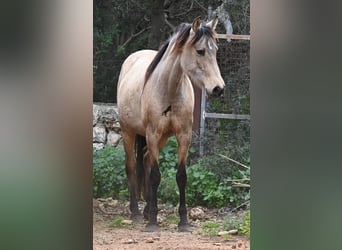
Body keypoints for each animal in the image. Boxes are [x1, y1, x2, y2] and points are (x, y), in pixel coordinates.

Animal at [116, 16, 226, 232]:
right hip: (128, 132)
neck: (168, 90)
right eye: (200, 51)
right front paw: (153, 222)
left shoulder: (183, 136)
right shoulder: (152, 134)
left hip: (162, 139)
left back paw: (146, 210)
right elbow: (155, 176)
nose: (218, 88)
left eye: (216, 50)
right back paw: (136, 213)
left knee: (146, 160)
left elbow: (181, 176)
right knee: (131, 166)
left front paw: (183, 221)